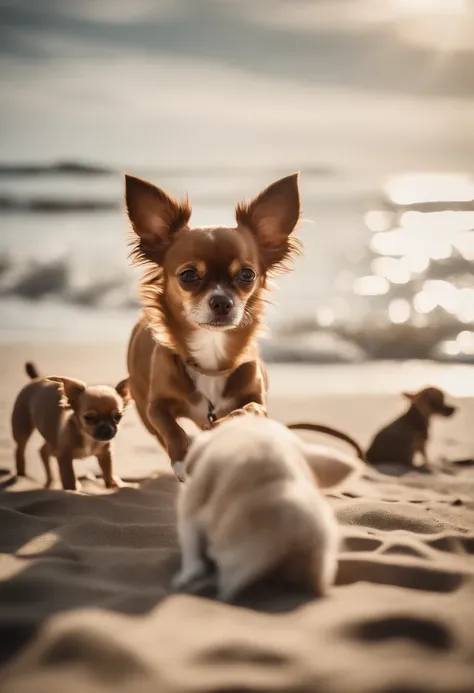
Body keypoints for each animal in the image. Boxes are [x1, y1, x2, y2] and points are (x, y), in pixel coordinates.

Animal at [11, 360, 131, 490]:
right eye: (89, 418)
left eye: (118, 417)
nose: (107, 430)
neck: (89, 438)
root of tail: (37, 378)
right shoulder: (64, 456)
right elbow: (70, 478)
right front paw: (74, 490)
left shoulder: (105, 454)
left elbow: (108, 471)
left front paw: (113, 484)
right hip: (22, 428)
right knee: (20, 450)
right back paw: (21, 475)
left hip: (53, 442)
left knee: (43, 451)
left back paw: (49, 481)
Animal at [125, 172, 300, 482]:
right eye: (188, 275)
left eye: (247, 274)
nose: (221, 302)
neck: (210, 354)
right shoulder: (156, 406)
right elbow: (171, 429)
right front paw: (183, 458)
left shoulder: (258, 401)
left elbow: (247, 411)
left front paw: (220, 431)